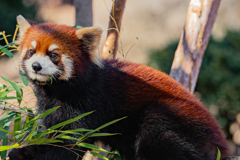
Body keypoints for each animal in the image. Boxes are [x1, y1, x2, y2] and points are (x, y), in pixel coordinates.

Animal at [8, 15, 232, 160]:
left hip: (180, 119)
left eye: (53, 54)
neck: (57, 91)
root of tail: (220, 141)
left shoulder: (87, 103)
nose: (36, 66)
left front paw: (31, 154)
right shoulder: (50, 107)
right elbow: (52, 131)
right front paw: (23, 151)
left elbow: (70, 145)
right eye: (31, 52)